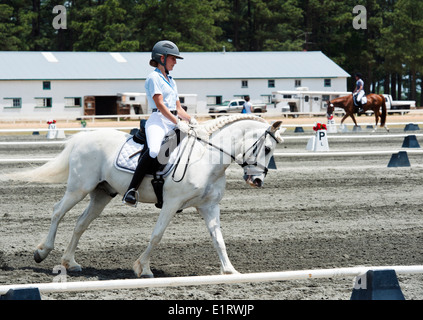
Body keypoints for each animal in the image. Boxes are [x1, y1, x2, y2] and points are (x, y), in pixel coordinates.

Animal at [6, 115, 284, 278]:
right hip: (79, 188)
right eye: (267, 148)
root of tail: (84, 137)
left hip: (101, 194)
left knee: (80, 224)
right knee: (57, 211)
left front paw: (230, 271)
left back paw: (69, 262)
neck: (208, 158)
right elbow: (157, 235)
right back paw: (42, 252)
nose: (257, 181)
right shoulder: (171, 204)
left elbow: (218, 239)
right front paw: (143, 268)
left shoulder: (209, 207)